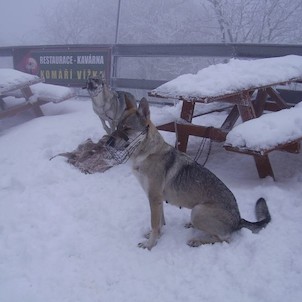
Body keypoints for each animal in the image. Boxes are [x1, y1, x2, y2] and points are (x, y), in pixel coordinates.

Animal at [106, 98, 272, 250]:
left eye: (127, 129)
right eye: (117, 127)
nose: (107, 143)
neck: (146, 152)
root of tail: (238, 219)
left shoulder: (154, 197)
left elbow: (154, 224)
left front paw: (150, 244)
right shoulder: (158, 199)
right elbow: (159, 223)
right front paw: (157, 236)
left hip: (197, 211)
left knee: (225, 238)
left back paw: (196, 241)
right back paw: (190, 225)